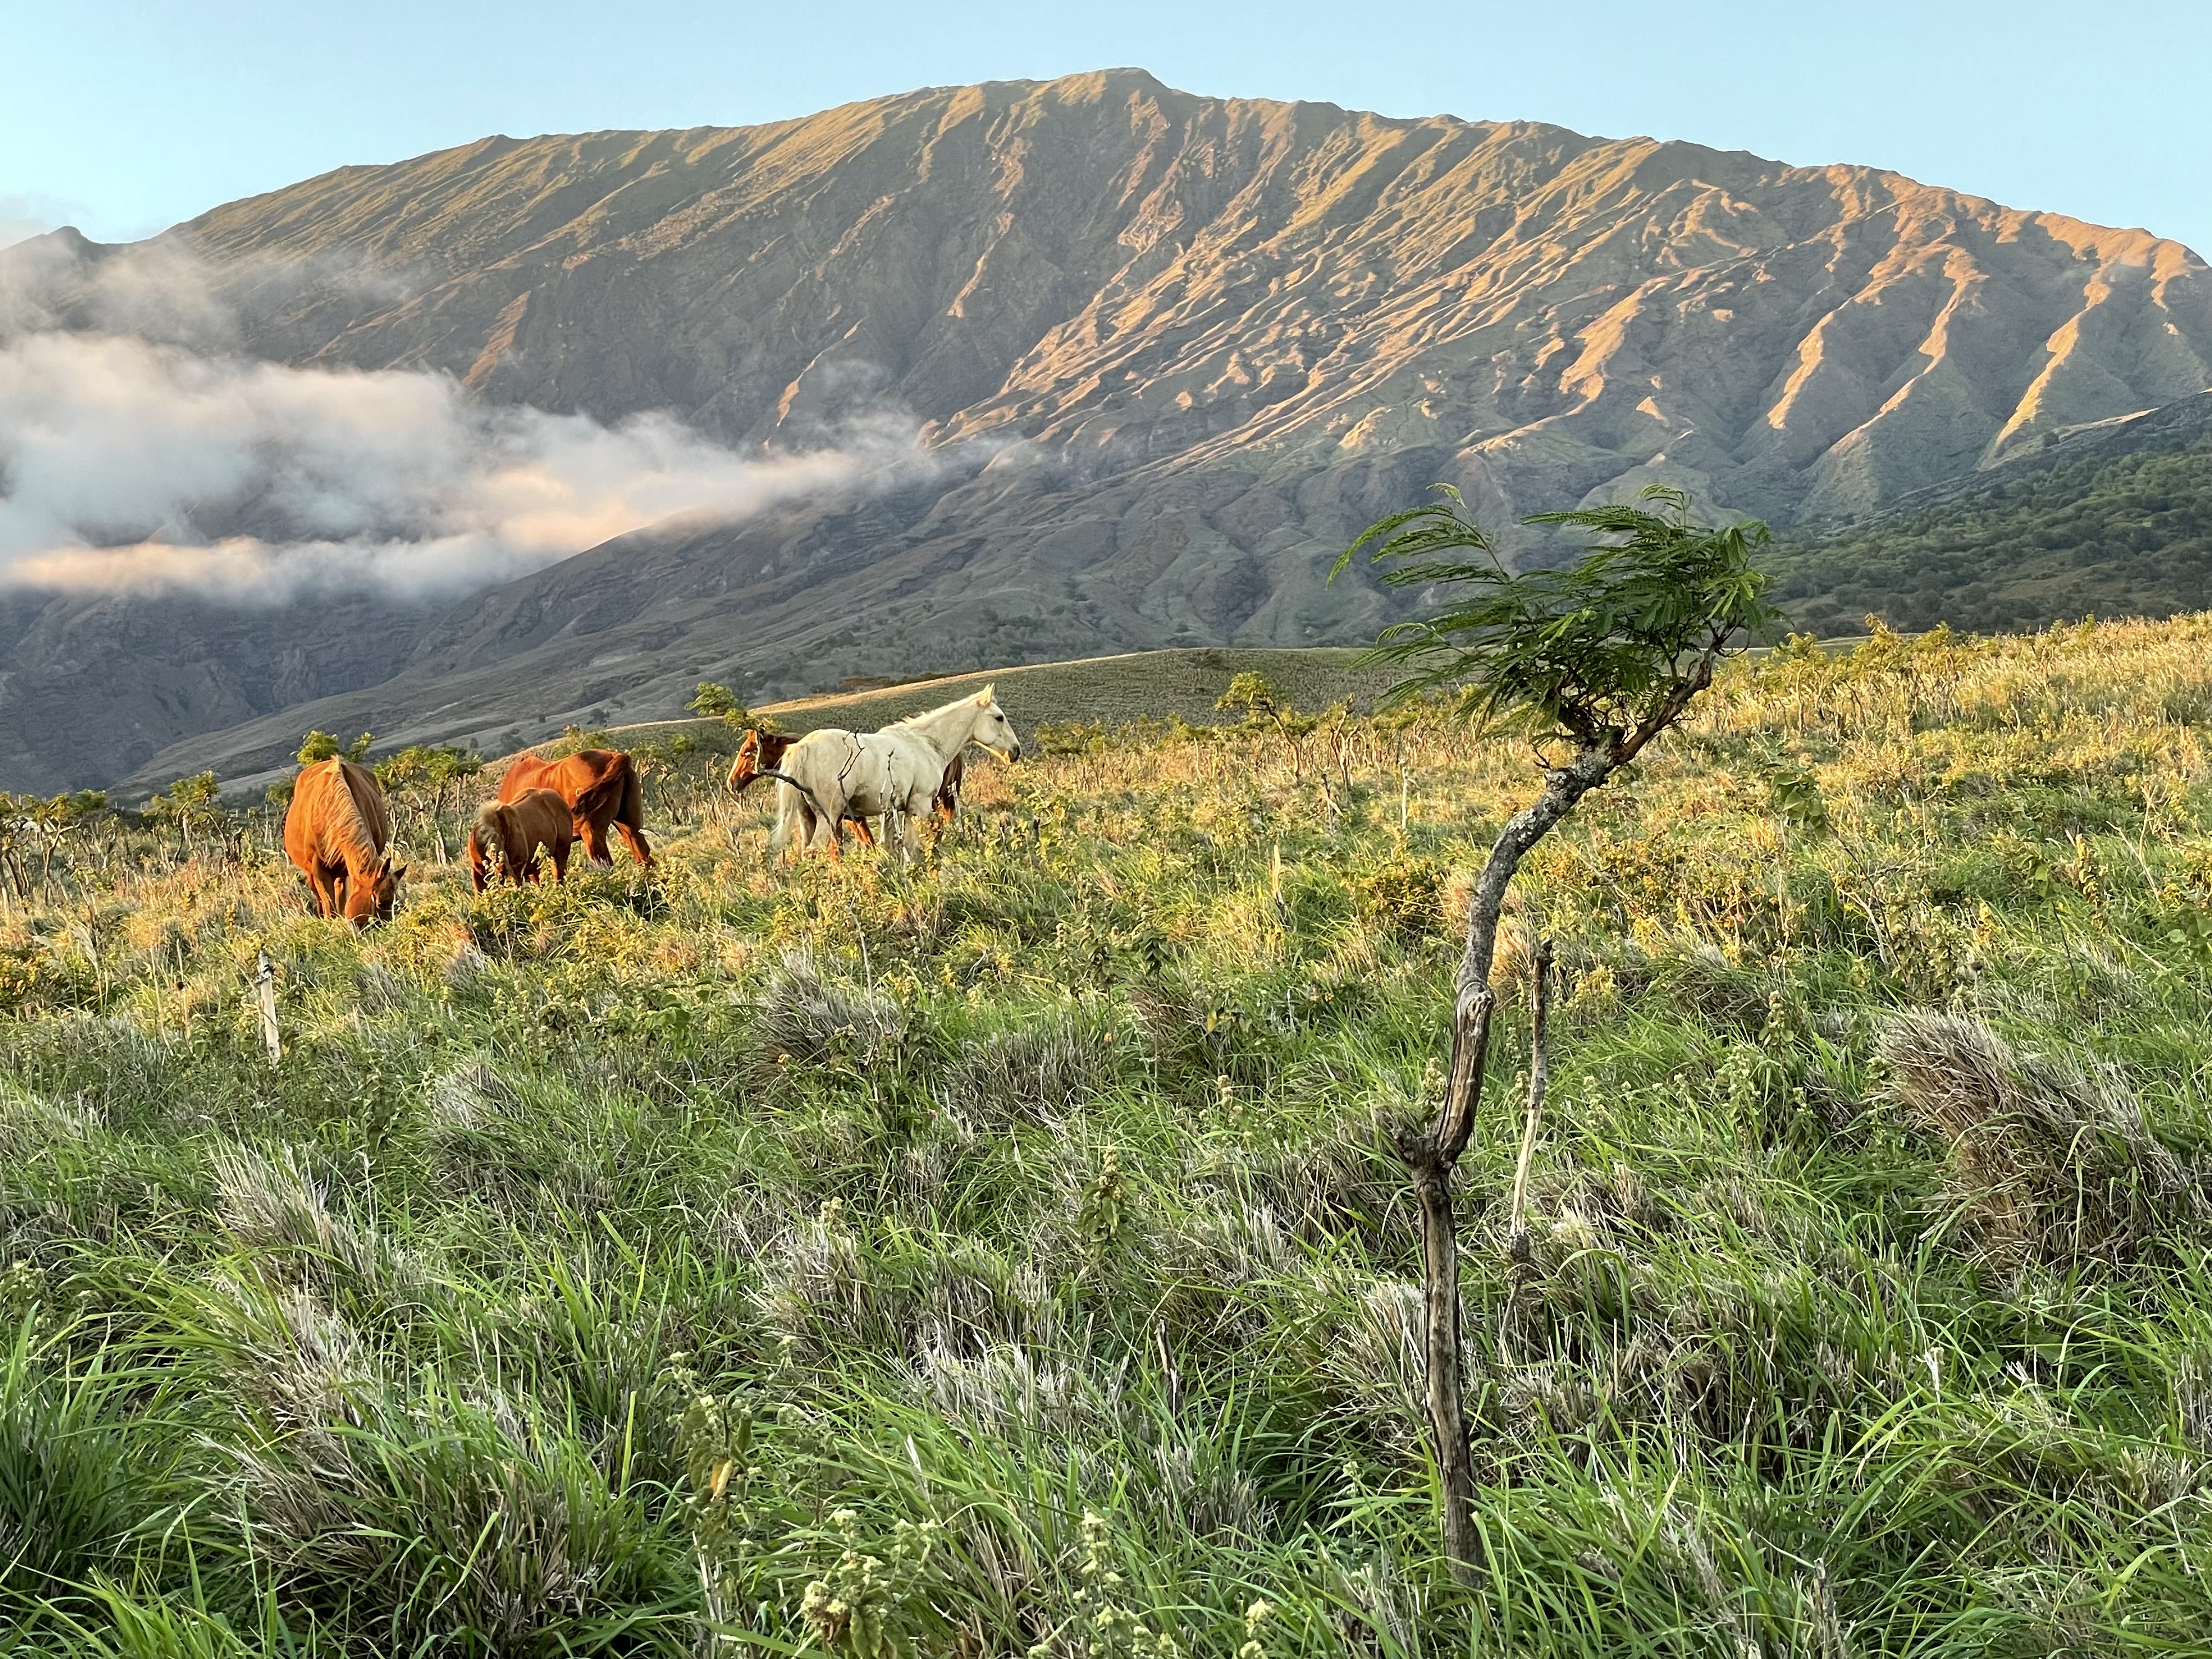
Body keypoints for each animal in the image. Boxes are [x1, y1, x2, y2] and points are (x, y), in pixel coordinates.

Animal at [771, 686, 1019, 860]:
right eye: (999, 717)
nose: (1015, 751)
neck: (925, 743)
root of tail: (804, 746)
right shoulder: (919, 806)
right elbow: (917, 844)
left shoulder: (892, 812)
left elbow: (893, 846)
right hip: (830, 817)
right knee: (817, 850)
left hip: (808, 817)